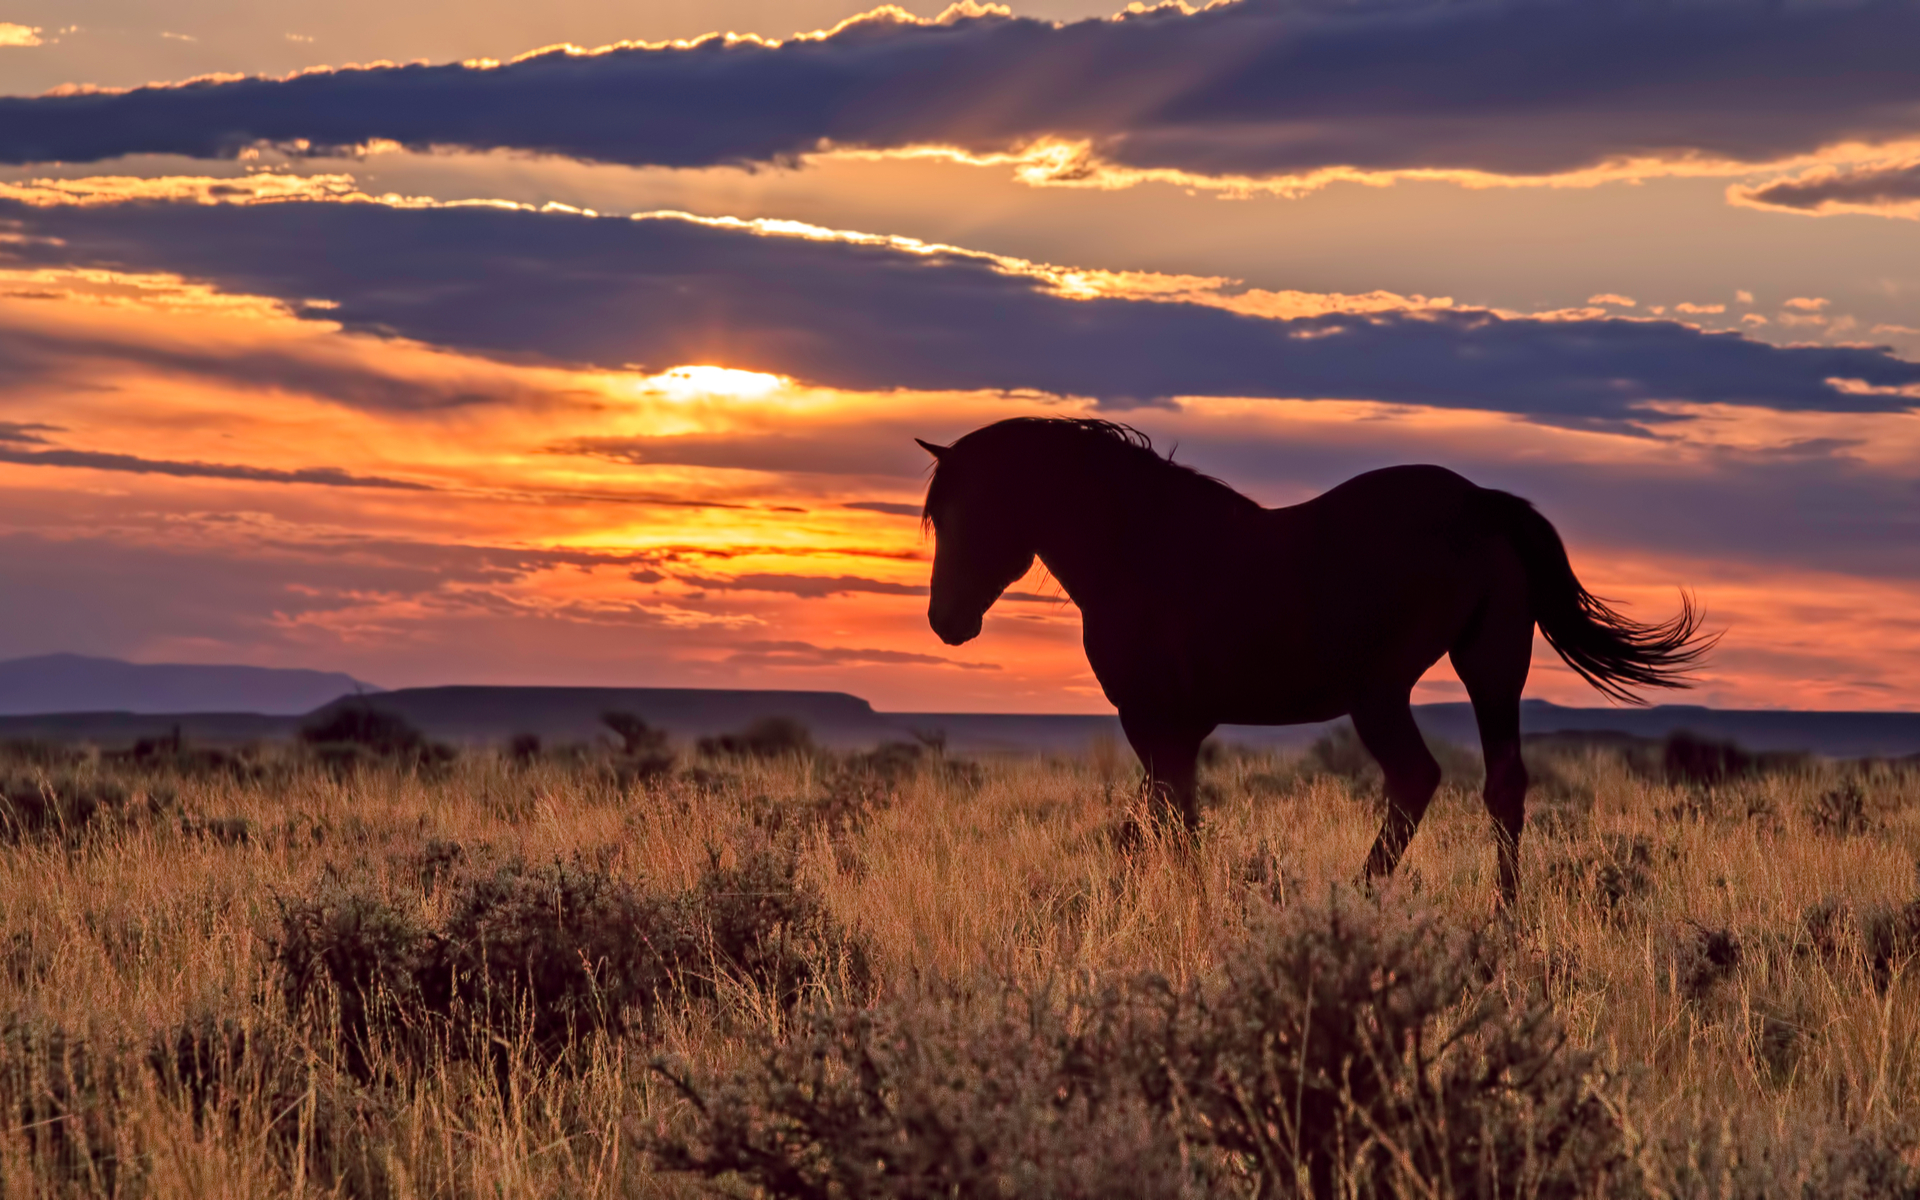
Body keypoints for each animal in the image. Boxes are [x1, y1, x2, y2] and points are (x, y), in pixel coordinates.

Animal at [913, 418, 1712, 898]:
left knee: (1415, 780)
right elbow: (1161, 824)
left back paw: (1360, 902)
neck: (1145, 549)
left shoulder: (1157, 724)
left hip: (1381, 690)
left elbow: (1161, 828)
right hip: (1491, 665)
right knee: (1503, 787)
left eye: (970, 512)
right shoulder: (1178, 732)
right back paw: (1505, 924)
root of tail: (1481, 502)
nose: (945, 622)